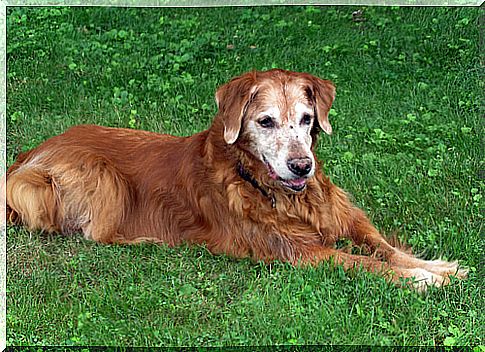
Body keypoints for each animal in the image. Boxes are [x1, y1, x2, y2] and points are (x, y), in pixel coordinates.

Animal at [3, 69, 466, 292]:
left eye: (306, 119)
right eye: (266, 122)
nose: (302, 166)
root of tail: (25, 157)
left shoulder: (344, 217)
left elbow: (384, 247)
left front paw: (438, 266)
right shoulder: (297, 252)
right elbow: (364, 262)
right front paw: (423, 280)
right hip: (98, 179)